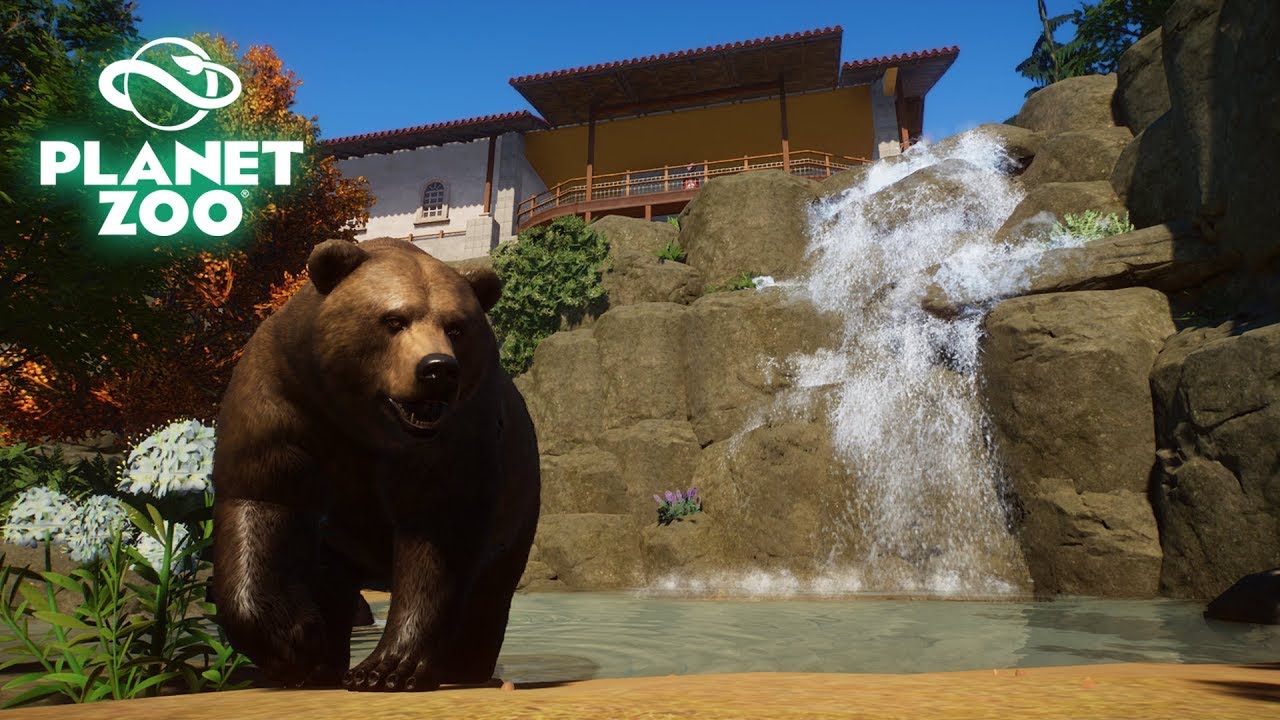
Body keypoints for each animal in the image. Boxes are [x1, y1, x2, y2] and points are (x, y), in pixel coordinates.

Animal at [211, 238, 540, 692]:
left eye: (456, 326)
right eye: (394, 319)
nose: (438, 369)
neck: (361, 423)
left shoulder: (459, 432)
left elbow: (437, 531)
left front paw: (386, 668)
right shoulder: (280, 398)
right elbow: (262, 500)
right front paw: (297, 644)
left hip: (519, 501)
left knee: (490, 590)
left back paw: (463, 667)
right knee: (329, 573)